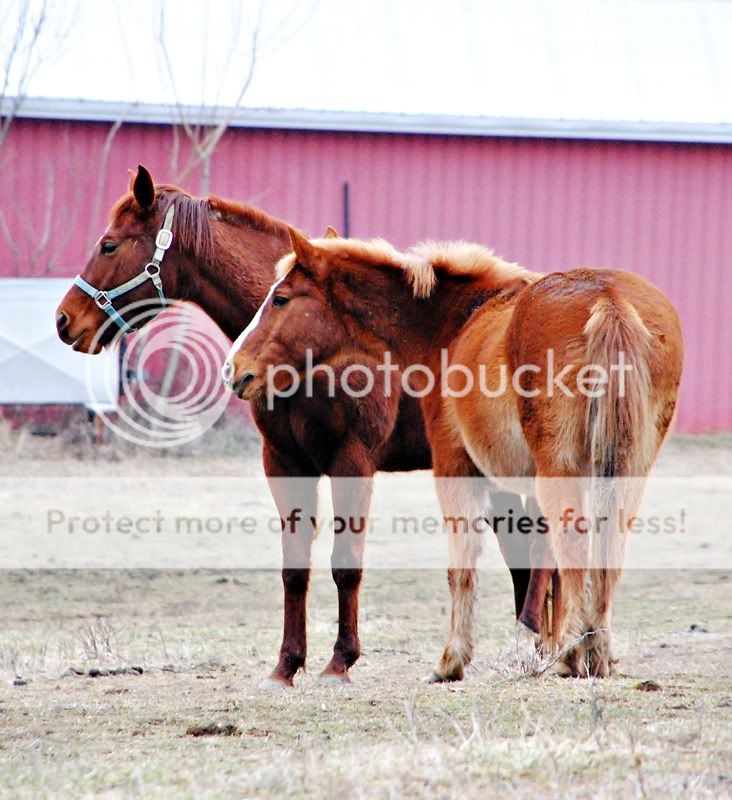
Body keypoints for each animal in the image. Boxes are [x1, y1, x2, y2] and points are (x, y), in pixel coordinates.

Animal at [55, 166, 548, 684]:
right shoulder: (285, 462)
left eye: (110, 245)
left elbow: (345, 564)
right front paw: (287, 664)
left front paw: (340, 660)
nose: (66, 320)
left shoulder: (351, 460)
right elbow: (295, 568)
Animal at [227, 231, 680, 680]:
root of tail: (608, 299)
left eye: (281, 298)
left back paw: (572, 653)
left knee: (572, 550)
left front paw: (452, 660)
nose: (233, 368)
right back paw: (595, 652)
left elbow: (462, 565)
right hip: (622, 471)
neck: (456, 322)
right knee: (607, 554)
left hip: (560, 470)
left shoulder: (452, 466)